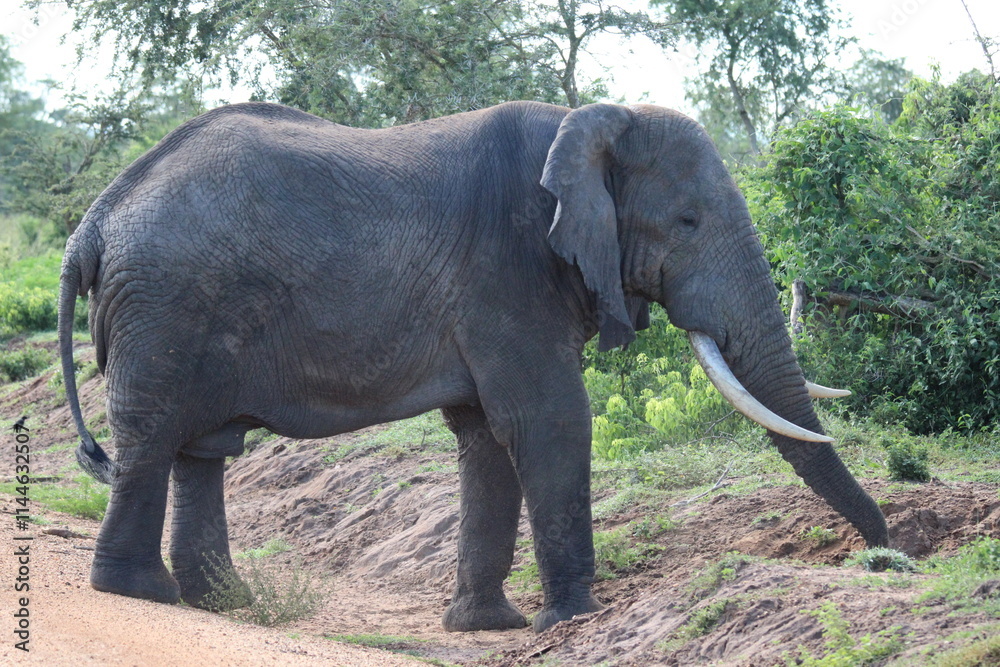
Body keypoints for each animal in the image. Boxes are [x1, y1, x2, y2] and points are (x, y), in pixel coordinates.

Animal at [58, 100, 888, 634]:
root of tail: (93, 220)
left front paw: (487, 626)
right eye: (687, 222)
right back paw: (140, 591)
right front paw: (571, 619)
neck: (589, 123)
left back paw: (222, 602)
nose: (886, 557)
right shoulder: (511, 268)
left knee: (202, 448)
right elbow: (549, 419)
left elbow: (488, 434)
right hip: (165, 303)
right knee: (154, 436)